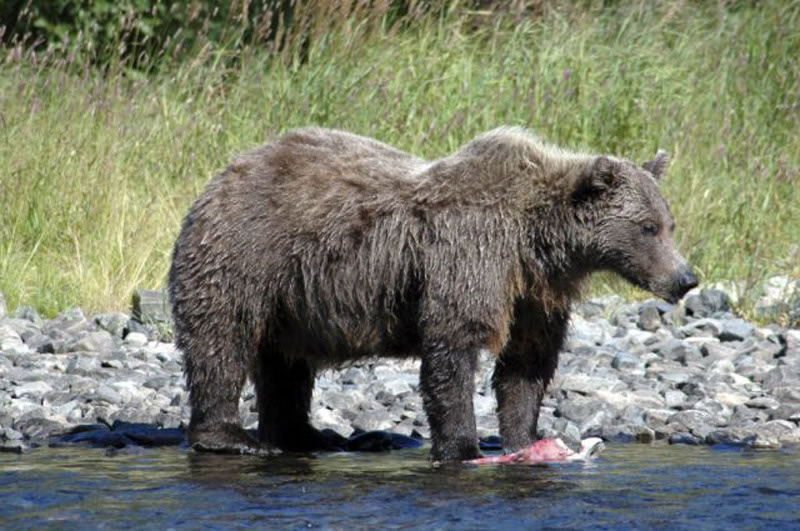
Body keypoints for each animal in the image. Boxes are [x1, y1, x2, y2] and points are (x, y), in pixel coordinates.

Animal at [170, 128, 700, 462]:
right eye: (647, 227)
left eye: (669, 223)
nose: (686, 279)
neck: (534, 243)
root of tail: (224, 174)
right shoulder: (470, 256)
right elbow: (453, 347)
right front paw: (462, 446)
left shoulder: (531, 295)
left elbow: (526, 365)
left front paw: (523, 438)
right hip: (248, 253)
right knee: (222, 341)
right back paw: (232, 437)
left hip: (293, 298)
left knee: (285, 363)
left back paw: (308, 436)